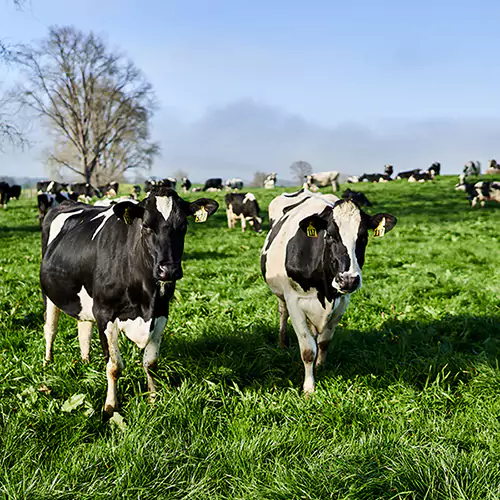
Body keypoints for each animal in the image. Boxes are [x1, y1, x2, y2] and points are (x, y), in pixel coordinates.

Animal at [39, 186, 219, 416]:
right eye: (146, 226)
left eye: (184, 226)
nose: (168, 270)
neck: (146, 299)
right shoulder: (104, 313)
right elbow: (114, 366)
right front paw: (110, 406)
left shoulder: (161, 312)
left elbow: (151, 363)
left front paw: (153, 399)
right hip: (49, 294)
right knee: (50, 329)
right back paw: (47, 362)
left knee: (83, 328)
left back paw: (85, 361)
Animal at [260, 188, 396, 394]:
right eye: (330, 235)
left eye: (363, 237)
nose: (348, 280)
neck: (324, 289)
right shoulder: (294, 301)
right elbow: (308, 350)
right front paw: (309, 388)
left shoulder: (342, 302)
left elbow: (324, 342)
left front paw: (320, 367)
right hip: (281, 295)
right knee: (282, 312)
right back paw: (282, 343)